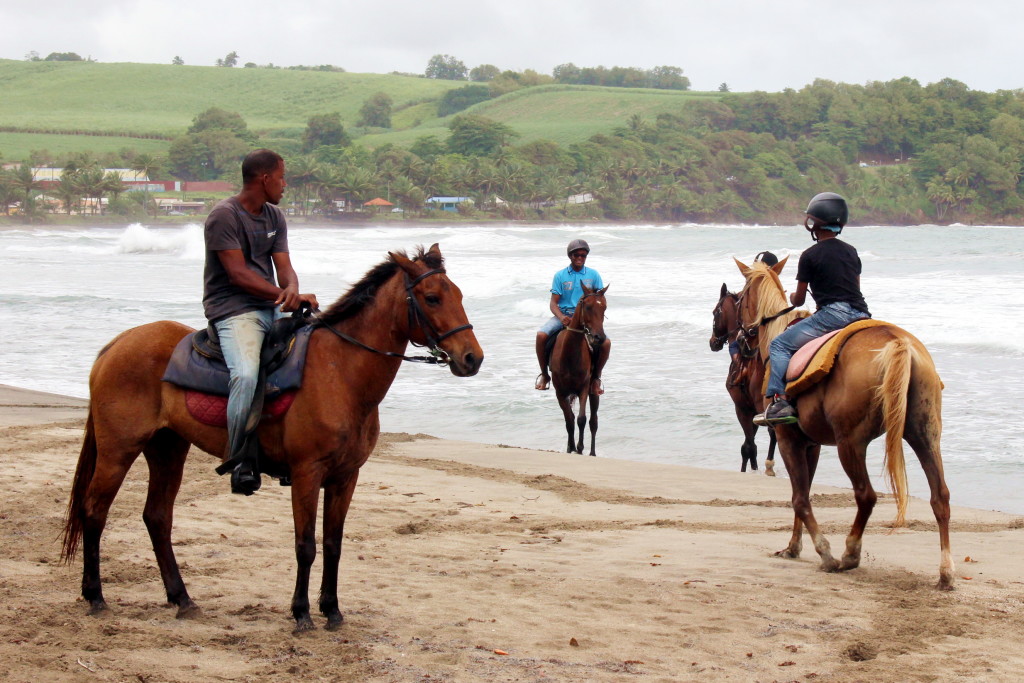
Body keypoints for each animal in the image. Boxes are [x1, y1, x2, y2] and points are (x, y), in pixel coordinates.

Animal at [61, 244, 485, 630]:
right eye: (432, 297)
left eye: (460, 294)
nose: (472, 358)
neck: (341, 371)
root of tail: (116, 345)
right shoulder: (306, 473)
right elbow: (306, 545)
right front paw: (301, 613)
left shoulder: (345, 477)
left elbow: (333, 545)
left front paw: (332, 610)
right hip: (119, 450)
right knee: (94, 511)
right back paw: (95, 595)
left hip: (167, 449)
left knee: (157, 518)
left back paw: (182, 598)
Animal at [552, 286, 606, 456]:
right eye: (587, 307)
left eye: (604, 307)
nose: (599, 337)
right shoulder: (560, 392)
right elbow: (569, 419)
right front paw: (571, 448)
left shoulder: (583, 388)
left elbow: (581, 419)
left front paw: (580, 448)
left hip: (593, 391)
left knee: (593, 421)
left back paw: (592, 452)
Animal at [712, 280, 774, 473]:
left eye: (715, 312)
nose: (712, 342)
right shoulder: (752, 410)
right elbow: (749, 443)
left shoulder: (742, 407)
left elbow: (748, 446)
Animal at [733, 259, 954, 589]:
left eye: (740, 297)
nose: (740, 338)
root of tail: (898, 342)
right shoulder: (810, 444)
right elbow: (805, 492)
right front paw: (793, 547)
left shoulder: (788, 440)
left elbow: (800, 498)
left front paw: (824, 552)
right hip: (925, 435)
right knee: (940, 497)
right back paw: (946, 572)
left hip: (850, 443)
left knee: (866, 496)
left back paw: (849, 554)